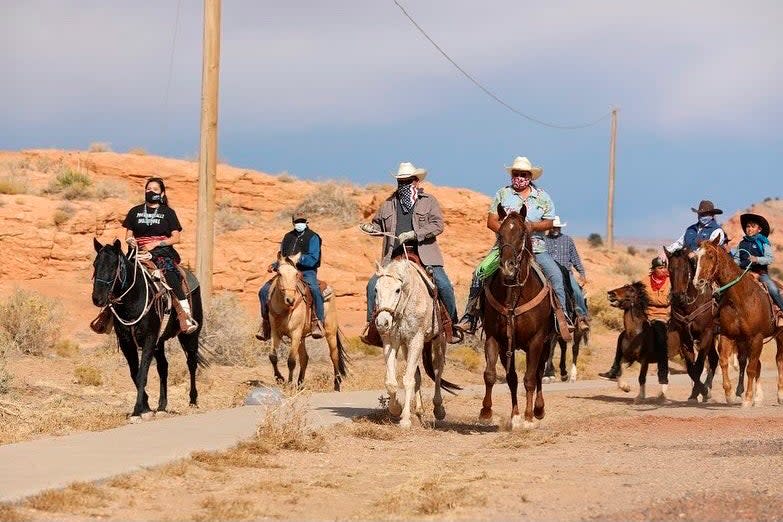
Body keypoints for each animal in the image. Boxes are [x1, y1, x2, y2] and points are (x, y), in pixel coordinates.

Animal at [91, 238, 207, 416]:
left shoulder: (149, 339)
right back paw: (162, 405)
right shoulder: (127, 342)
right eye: (95, 264)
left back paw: (193, 401)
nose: (97, 298)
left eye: (113, 266)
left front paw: (138, 409)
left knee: (191, 362)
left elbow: (142, 374)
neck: (134, 299)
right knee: (163, 366)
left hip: (189, 335)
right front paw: (145, 406)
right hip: (160, 342)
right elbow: (135, 373)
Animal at [270, 252, 350, 390]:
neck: (285, 308)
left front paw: (289, 384)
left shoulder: (295, 333)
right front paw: (279, 378)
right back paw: (300, 384)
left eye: (296, 274)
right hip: (302, 337)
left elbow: (291, 361)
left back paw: (337, 385)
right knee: (305, 358)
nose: (290, 300)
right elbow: (273, 357)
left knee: (334, 356)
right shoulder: (275, 332)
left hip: (330, 332)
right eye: (279, 273)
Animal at [374, 256, 460, 426]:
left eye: (397, 290)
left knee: (437, 371)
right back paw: (419, 411)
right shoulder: (392, 341)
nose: (382, 322)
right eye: (375, 289)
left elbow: (407, 380)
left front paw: (405, 419)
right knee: (417, 375)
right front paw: (396, 409)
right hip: (407, 346)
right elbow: (392, 382)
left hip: (438, 341)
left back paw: (438, 409)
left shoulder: (416, 341)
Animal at [478, 203, 556, 426]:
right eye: (500, 234)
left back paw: (538, 410)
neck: (514, 296)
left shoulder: (536, 341)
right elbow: (492, 374)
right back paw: (515, 415)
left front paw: (529, 418)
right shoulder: (496, 338)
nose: (507, 266)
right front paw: (487, 412)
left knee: (538, 374)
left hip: (547, 343)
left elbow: (529, 378)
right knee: (513, 378)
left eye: (522, 234)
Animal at [692, 238, 783, 404]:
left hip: (779, 336)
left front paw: (747, 399)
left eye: (710, 255)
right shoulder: (727, 335)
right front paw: (729, 394)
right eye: (697, 257)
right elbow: (724, 361)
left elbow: (751, 368)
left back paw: (779, 395)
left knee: (779, 360)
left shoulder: (756, 337)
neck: (740, 298)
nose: (698, 282)